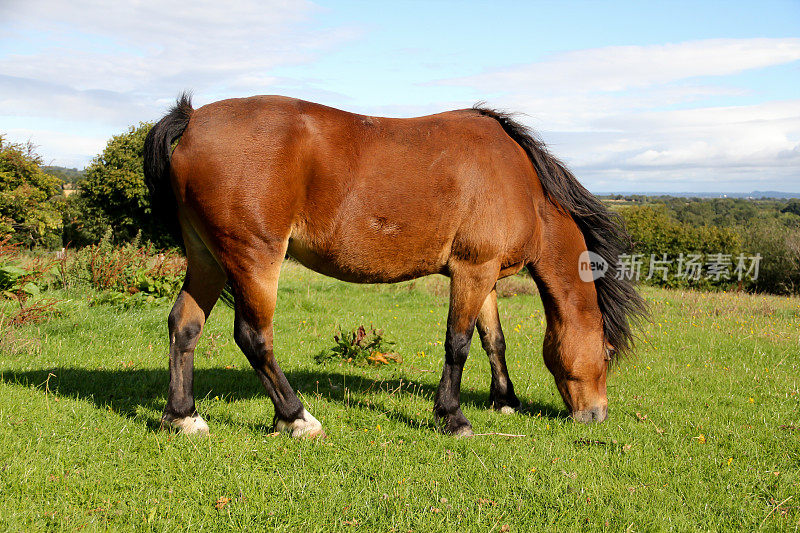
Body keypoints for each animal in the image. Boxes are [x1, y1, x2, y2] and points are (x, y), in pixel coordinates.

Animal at [142, 94, 644, 436]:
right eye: (606, 354)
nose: (596, 415)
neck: (519, 181)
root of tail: (193, 119)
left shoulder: (484, 275)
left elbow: (494, 341)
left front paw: (505, 401)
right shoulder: (472, 271)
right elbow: (459, 344)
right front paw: (452, 416)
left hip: (207, 259)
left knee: (184, 325)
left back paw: (182, 416)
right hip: (254, 259)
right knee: (253, 337)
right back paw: (296, 417)